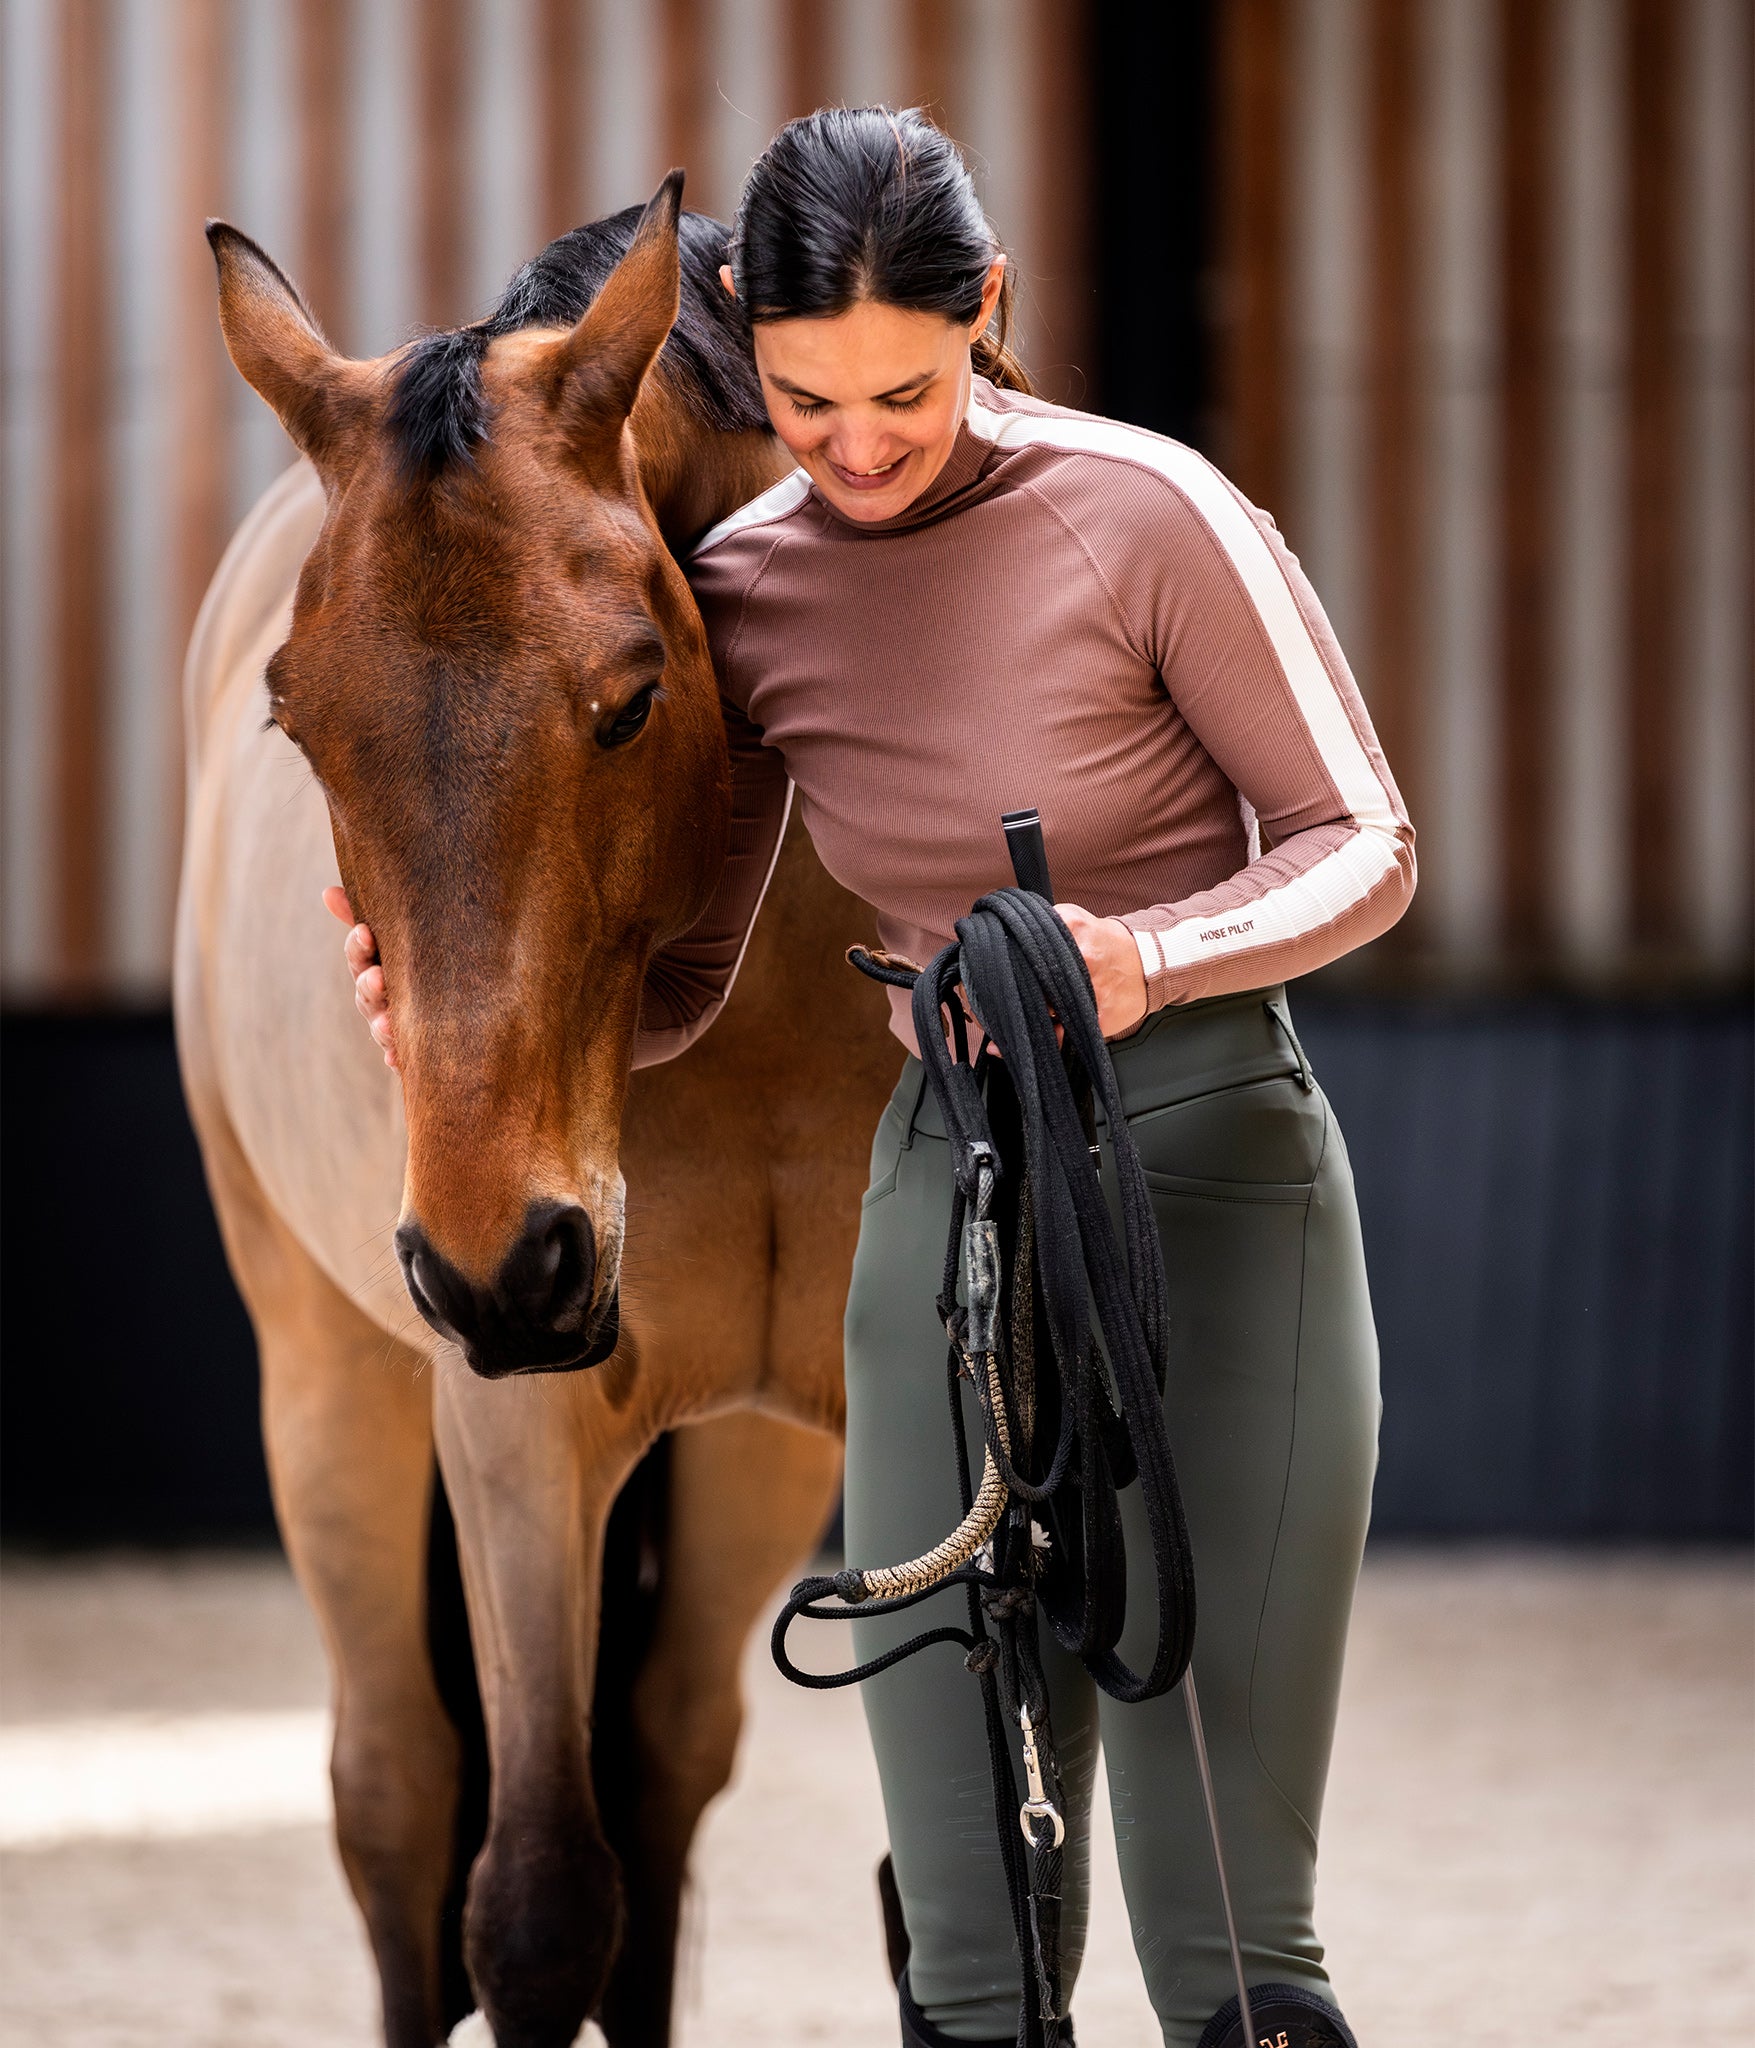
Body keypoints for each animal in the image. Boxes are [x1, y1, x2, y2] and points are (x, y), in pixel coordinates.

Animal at [174, 176, 899, 2048]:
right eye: (297, 720)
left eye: (632, 696)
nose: (509, 1269)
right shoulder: (517, 1440)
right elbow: (538, 1903)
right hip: (333, 1391)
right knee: (399, 1798)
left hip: (750, 1463)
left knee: (662, 1771)